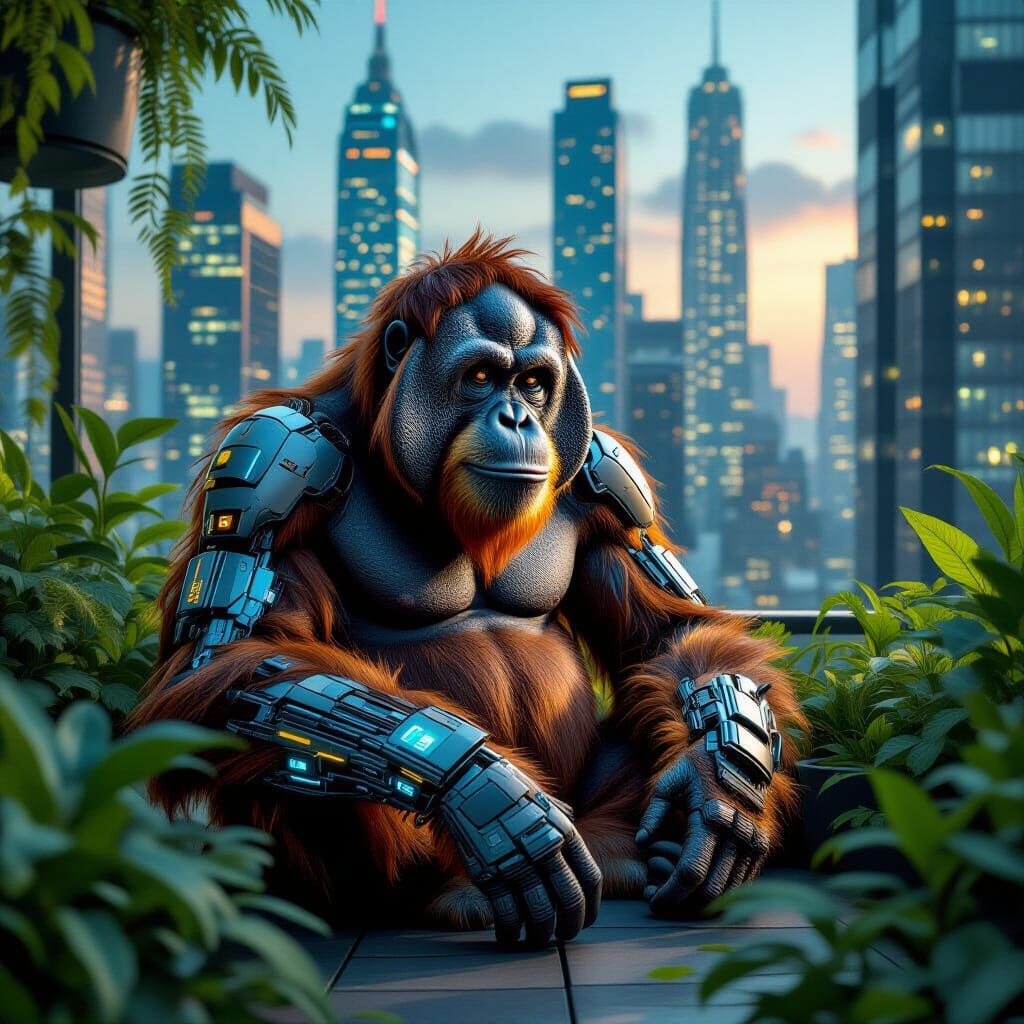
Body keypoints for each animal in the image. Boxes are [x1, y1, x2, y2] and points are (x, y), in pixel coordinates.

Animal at [131, 231, 806, 949]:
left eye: (533, 384)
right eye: (481, 376)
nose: (518, 418)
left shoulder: (605, 470)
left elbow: (669, 630)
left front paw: (716, 789)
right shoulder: (279, 455)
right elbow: (226, 656)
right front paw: (492, 798)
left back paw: (640, 847)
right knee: (286, 739)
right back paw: (445, 892)